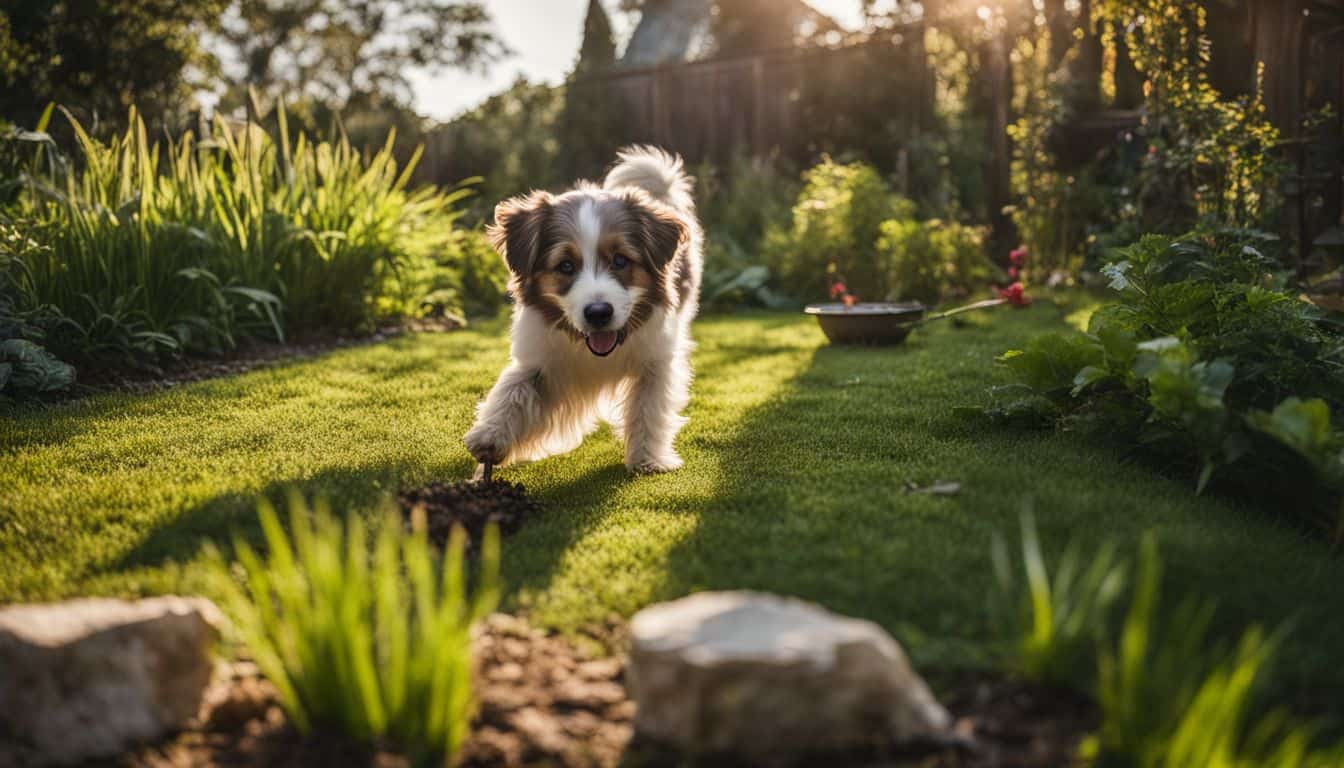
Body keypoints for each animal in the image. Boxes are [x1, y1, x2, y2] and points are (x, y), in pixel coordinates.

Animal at [465, 147, 704, 476]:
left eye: (620, 260)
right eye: (565, 265)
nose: (599, 313)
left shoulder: (657, 360)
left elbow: (648, 408)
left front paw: (647, 458)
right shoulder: (539, 360)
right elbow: (512, 390)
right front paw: (490, 435)